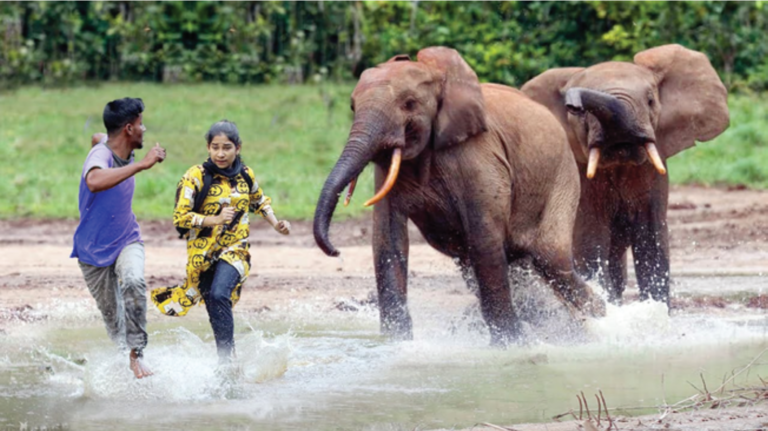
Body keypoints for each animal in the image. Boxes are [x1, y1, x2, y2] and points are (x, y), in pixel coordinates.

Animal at [316, 46, 604, 348]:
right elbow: (388, 238)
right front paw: (396, 342)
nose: (336, 251)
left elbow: (484, 237)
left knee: (551, 259)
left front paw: (510, 346)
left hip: (563, 178)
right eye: (352, 107)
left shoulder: (477, 154)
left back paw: (600, 321)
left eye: (409, 104)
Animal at [520, 44, 732, 308]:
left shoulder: (654, 174)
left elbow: (651, 240)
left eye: (650, 101)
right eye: (580, 115)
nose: (573, 103)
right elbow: (591, 239)